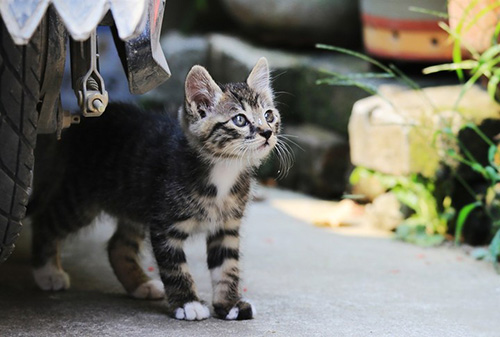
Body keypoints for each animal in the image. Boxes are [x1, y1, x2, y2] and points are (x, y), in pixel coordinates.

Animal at [29, 57, 282, 320]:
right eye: (240, 120)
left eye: (269, 115)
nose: (267, 132)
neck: (223, 171)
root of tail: (79, 122)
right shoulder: (164, 225)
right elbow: (175, 267)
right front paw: (188, 303)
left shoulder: (226, 227)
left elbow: (227, 267)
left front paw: (230, 304)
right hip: (80, 200)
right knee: (45, 219)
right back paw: (47, 271)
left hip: (134, 202)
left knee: (118, 245)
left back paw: (140, 284)